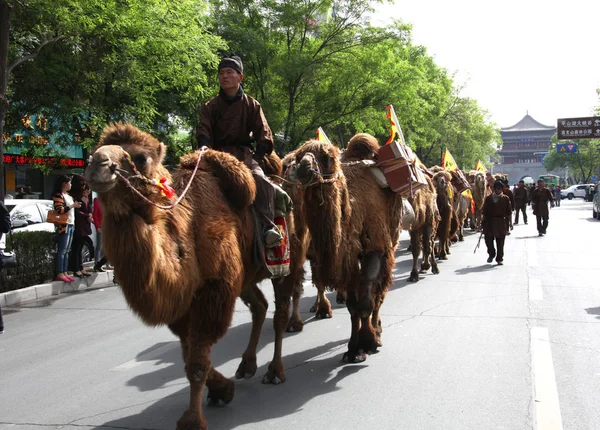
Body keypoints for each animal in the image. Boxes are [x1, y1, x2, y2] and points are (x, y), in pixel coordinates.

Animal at [85, 123, 302, 430]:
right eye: (93, 150)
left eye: (140, 157)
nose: (97, 164)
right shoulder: (184, 301)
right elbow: (189, 355)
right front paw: (223, 389)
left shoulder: (213, 291)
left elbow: (197, 362)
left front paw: (193, 420)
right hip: (244, 276)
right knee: (260, 305)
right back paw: (246, 365)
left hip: (287, 260)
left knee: (280, 310)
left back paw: (274, 371)